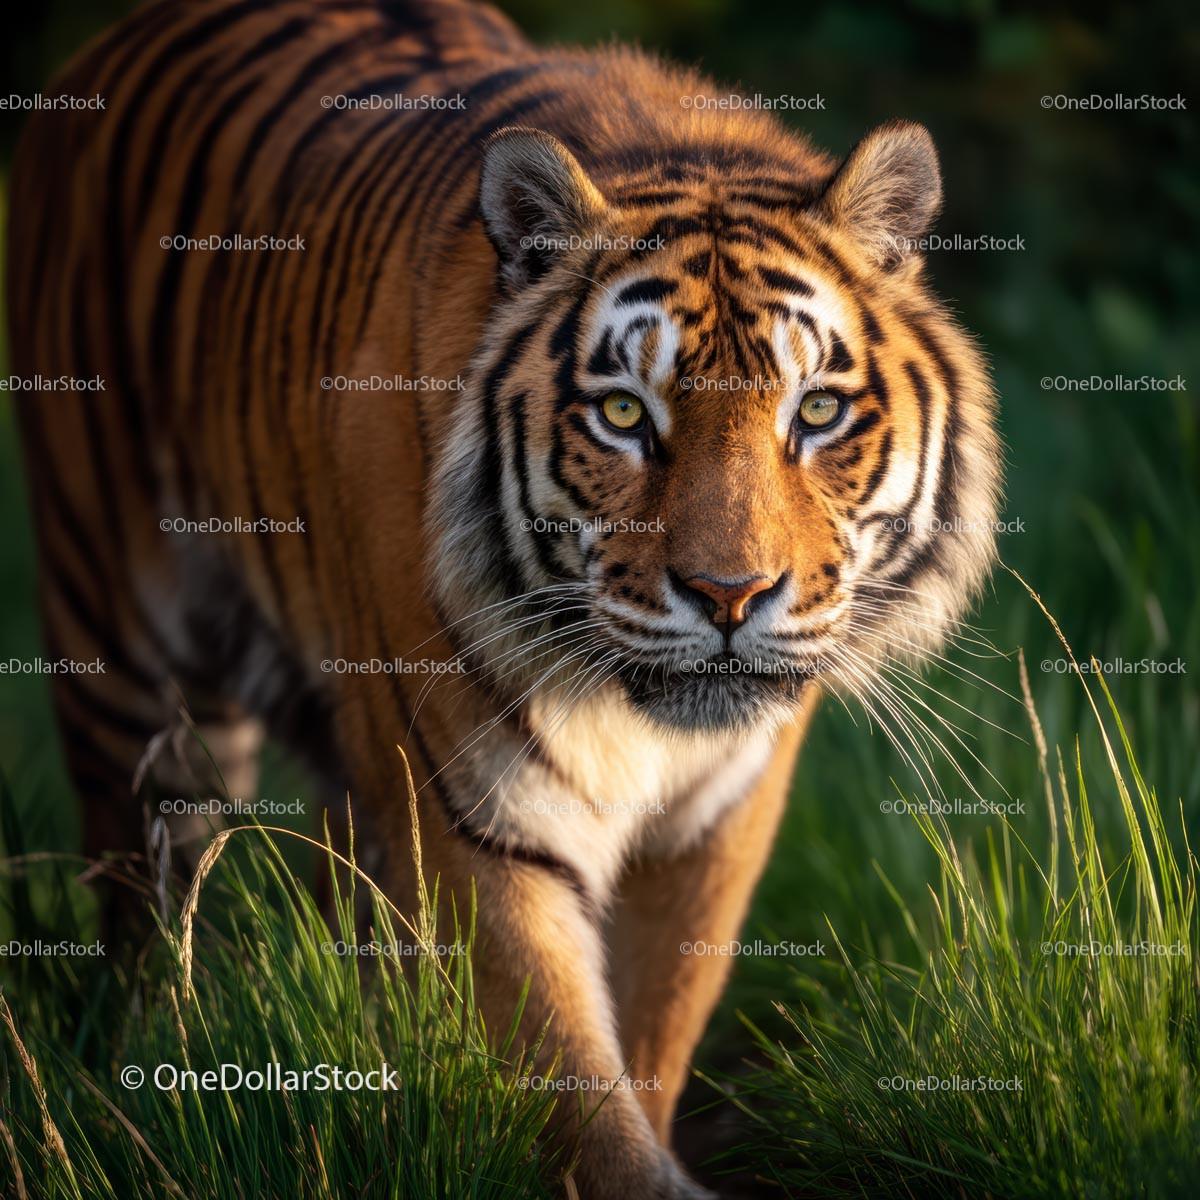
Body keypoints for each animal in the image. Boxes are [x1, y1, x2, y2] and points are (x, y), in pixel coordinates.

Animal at [6, 0, 1001, 1195]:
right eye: (623, 414)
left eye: (815, 412)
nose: (729, 596)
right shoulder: (468, 819)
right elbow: (571, 1085)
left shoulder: (718, 820)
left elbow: (654, 1034)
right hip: (122, 662)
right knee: (148, 918)